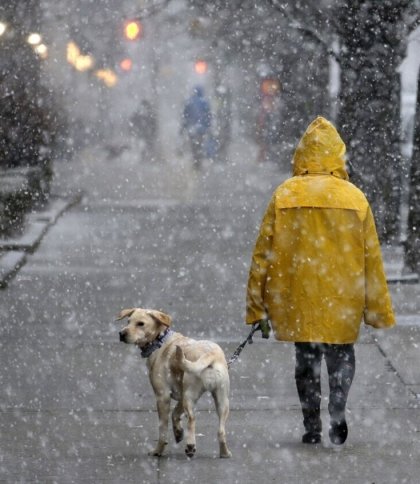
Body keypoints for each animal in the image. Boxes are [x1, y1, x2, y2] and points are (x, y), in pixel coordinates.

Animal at [116, 308, 231, 460]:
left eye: (141, 324)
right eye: (128, 321)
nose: (121, 334)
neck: (160, 341)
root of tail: (210, 354)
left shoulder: (162, 396)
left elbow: (163, 429)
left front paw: (158, 450)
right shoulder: (180, 396)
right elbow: (175, 414)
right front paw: (178, 432)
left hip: (190, 397)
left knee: (192, 419)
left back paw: (190, 446)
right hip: (222, 401)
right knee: (221, 431)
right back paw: (224, 453)